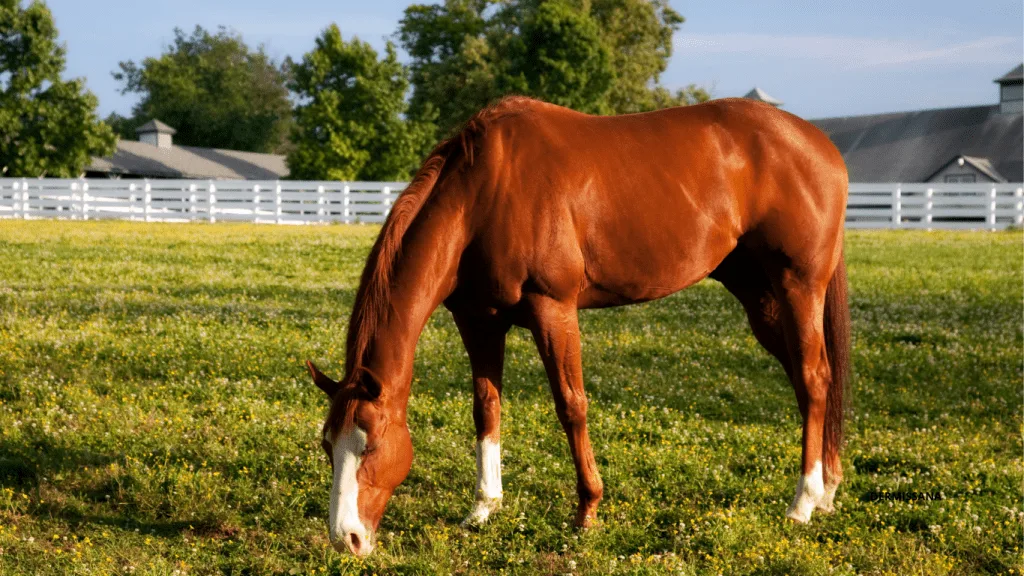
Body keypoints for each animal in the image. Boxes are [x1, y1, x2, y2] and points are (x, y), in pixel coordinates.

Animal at [305, 95, 851, 556]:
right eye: (328, 446)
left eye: (370, 445)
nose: (346, 538)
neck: (484, 195)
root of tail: (820, 144)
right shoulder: (479, 322)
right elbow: (486, 408)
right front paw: (483, 508)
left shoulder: (554, 310)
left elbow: (571, 406)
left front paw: (587, 509)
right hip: (761, 298)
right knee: (811, 379)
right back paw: (826, 490)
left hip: (798, 288)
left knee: (813, 378)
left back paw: (803, 503)